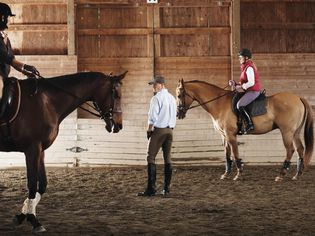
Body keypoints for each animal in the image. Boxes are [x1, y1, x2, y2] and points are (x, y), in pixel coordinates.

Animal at [2, 70, 126, 232]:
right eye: (116, 95)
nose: (119, 125)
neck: (47, 103)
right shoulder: (32, 149)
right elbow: (32, 184)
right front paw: (34, 220)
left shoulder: (40, 150)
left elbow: (42, 185)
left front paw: (22, 215)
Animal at [177, 79, 314, 181]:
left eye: (179, 95)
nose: (179, 114)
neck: (219, 103)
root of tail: (298, 98)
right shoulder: (223, 135)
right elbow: (227, 154)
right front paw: (226, 174)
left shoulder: (230, 134)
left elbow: (235, 152)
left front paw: (238, 173)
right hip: (295, 132)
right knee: (300, 149)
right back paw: (297, 175)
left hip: (287, 132)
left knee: (290, 150)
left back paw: (281, 174)